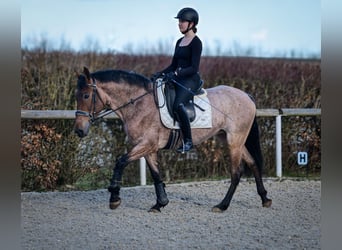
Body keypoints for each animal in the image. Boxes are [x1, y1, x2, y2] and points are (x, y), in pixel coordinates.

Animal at [73, 66, 272, 213]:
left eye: (86, 95)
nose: (79, 130)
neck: (138, 105)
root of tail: (246, 95)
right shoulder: (148, 148)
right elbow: (155, 174)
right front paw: (160, 203)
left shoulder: (146, 144)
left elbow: (120, 161)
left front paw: (114, 197)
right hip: (231, 139)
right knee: (253, 163)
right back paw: (265, 198)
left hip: (234, 141)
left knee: (236, 172)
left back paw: (222, 206)